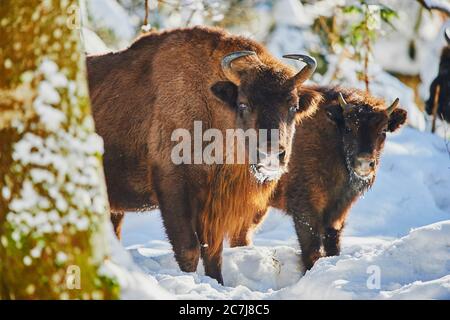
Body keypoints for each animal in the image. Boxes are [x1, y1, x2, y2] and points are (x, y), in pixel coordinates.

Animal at [87, 26, 320, 284]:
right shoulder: (174, 190)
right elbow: (188, 248)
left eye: (293, 106)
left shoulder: (213, 205)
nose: (270, 153)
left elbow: (213, 252)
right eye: (243, 104)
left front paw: (218, 282)